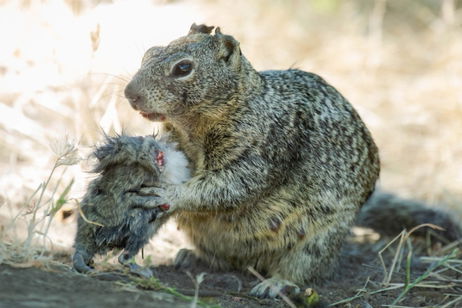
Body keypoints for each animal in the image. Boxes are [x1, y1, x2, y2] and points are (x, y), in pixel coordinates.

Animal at [124, 24, 460, 298]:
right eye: (149, 53)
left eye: (183, 68)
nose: (130, 93)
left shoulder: (264, 150)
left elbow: (229, 186)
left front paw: (170, 193)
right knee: (227, 261)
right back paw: (194, 258)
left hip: (316, 241)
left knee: (305, 270)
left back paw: (278, 283)